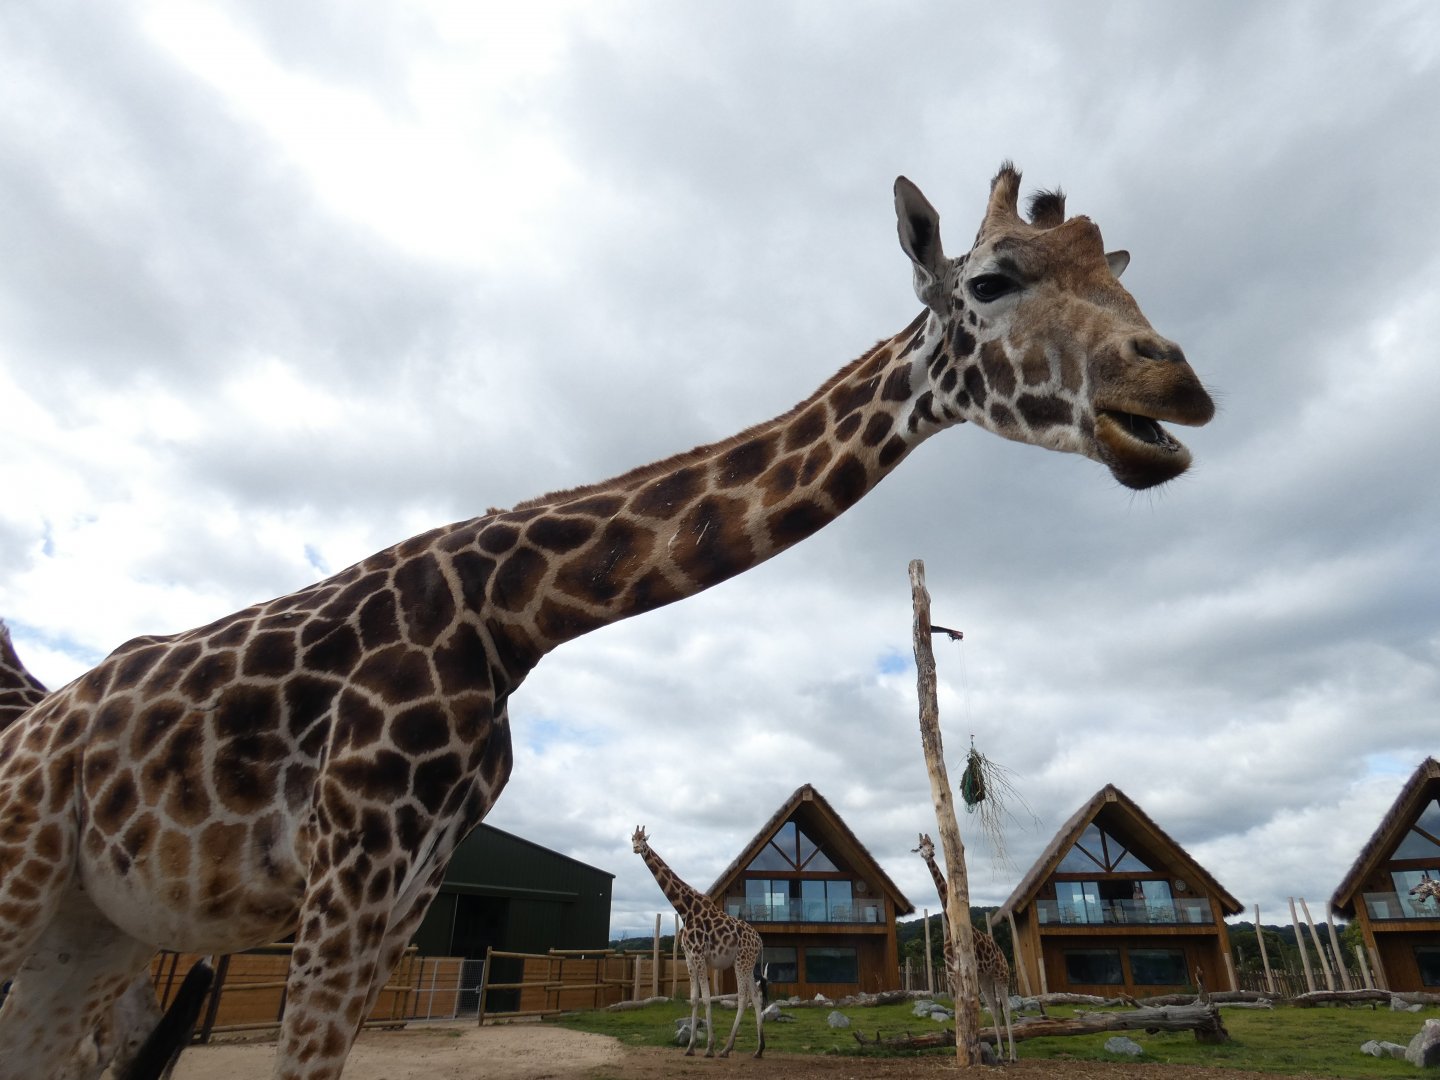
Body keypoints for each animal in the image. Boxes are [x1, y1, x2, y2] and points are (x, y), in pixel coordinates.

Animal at [630, 826, 765, 1058]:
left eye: (644, 839)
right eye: (632, 838)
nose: (636, 848)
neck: (685, 910)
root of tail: (759, 940)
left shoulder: (699, 955)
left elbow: (707, 998)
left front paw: (709, 1047)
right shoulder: (689, 958)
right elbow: (694, 999)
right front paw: (691, 1046)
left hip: (742, 962)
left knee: (743, 997)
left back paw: (726, 1049)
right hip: (748, 963)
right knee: (756, 997)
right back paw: (758, 1049)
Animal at [914, 832, 1016, 1062]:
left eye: (933, 845)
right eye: (920, 847)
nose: (929, 854)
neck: (950, 927)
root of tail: (1002, 954)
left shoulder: (967, 971)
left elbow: (972, 1006)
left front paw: (972, 1051)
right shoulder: (952, 974)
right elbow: (960, 1007)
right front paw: (963, 1051)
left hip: (1001, 974)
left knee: (1005, 1007)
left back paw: (1013, 1055)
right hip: (986, 978)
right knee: (994, 1008)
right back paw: (1001, 1053)